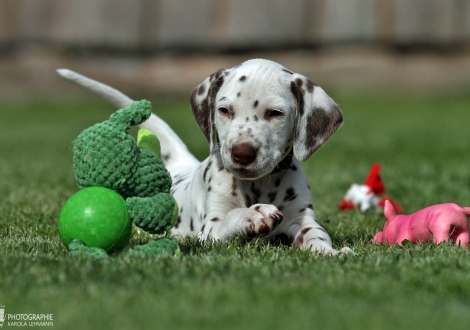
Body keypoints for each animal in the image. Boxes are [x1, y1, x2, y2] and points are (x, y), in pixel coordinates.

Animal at [57, 58, 350, 255]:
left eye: (275, 113)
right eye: (224, 110)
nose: (242, 153)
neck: (259, 185)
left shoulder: (302, 217)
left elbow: (317, 235)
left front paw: (330, 252)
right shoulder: (211, 230)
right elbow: (232, 217)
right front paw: (252, 214)